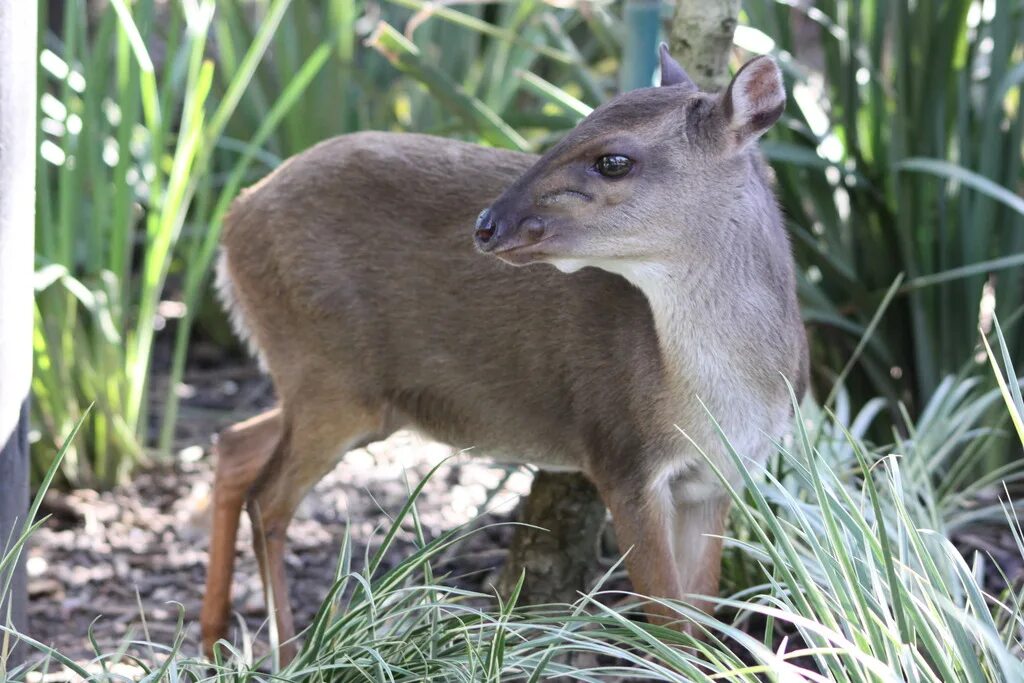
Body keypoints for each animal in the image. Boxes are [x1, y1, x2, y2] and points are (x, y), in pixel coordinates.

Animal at [199, 45, 806, 659]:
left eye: (613, 160)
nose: (487, 225)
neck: (718, 398)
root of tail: (231, 222)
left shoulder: (720, 478)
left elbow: (697, 622)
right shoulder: (623, 455)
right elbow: (670, 629)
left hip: (345, 395)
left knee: (236, 445)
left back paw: (212, 636)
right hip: (328, 373)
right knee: (267, 498)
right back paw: (289, 654)